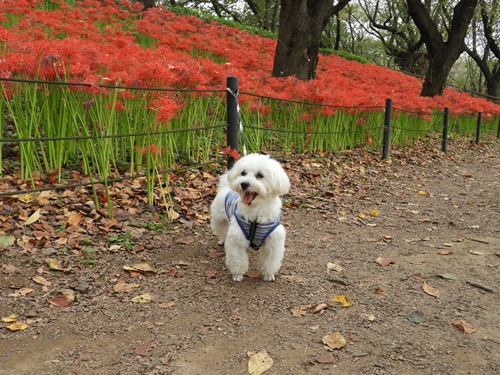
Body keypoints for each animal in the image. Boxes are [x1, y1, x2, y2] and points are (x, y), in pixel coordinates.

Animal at [210, 153, 290, 282]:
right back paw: (222, 240)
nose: (244, 184)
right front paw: (237, 275)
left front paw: (268, 274)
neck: (255, 215)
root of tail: (226, 187)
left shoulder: (273, 241)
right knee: (221, 230)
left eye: (260, 175)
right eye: (243, 173)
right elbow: (238, 260)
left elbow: (270, 261)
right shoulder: (236, 239)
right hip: (218, 219)